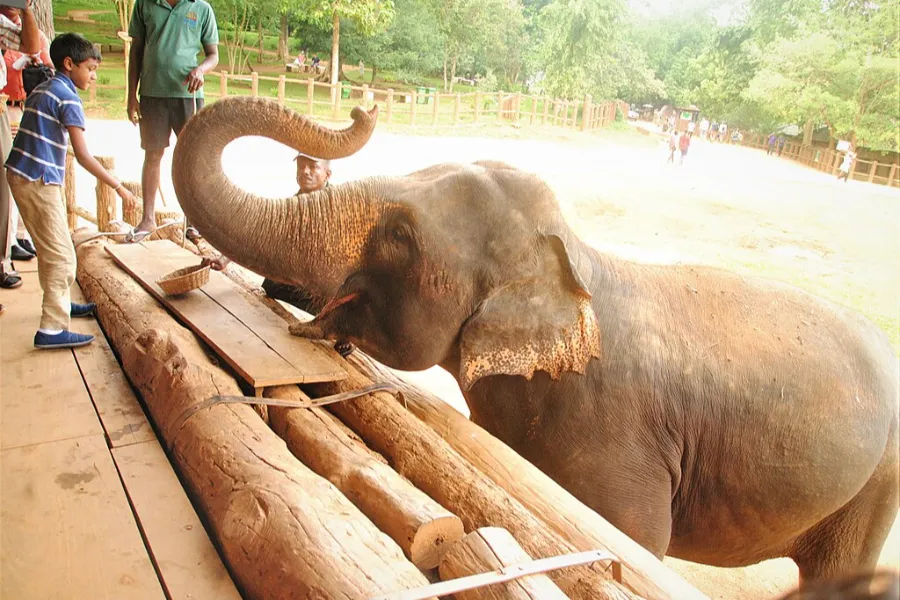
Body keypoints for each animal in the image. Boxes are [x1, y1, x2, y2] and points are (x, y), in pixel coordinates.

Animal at [172, 97, 899, 583]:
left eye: (401, 236)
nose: (361, 105)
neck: (572, 260)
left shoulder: (621, 454)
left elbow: (633, 543)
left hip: (878, 481)